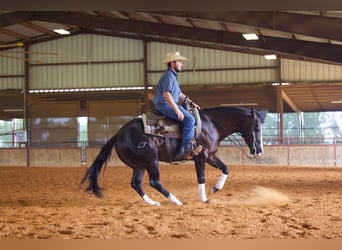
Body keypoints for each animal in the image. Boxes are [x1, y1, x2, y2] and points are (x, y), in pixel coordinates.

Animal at [80, 105, 268, 205]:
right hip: (151, 161)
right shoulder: (200, 157)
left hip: (139, 165)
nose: (258, 151)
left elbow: (226, 168)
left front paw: (216, 188)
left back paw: (153, 203)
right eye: (257, 128)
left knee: (136, 184)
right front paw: (204, 199)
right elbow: (201, 178)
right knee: (154, 182)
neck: (211, 124)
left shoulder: (210, 156)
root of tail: (118, 134)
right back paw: (176, 201)